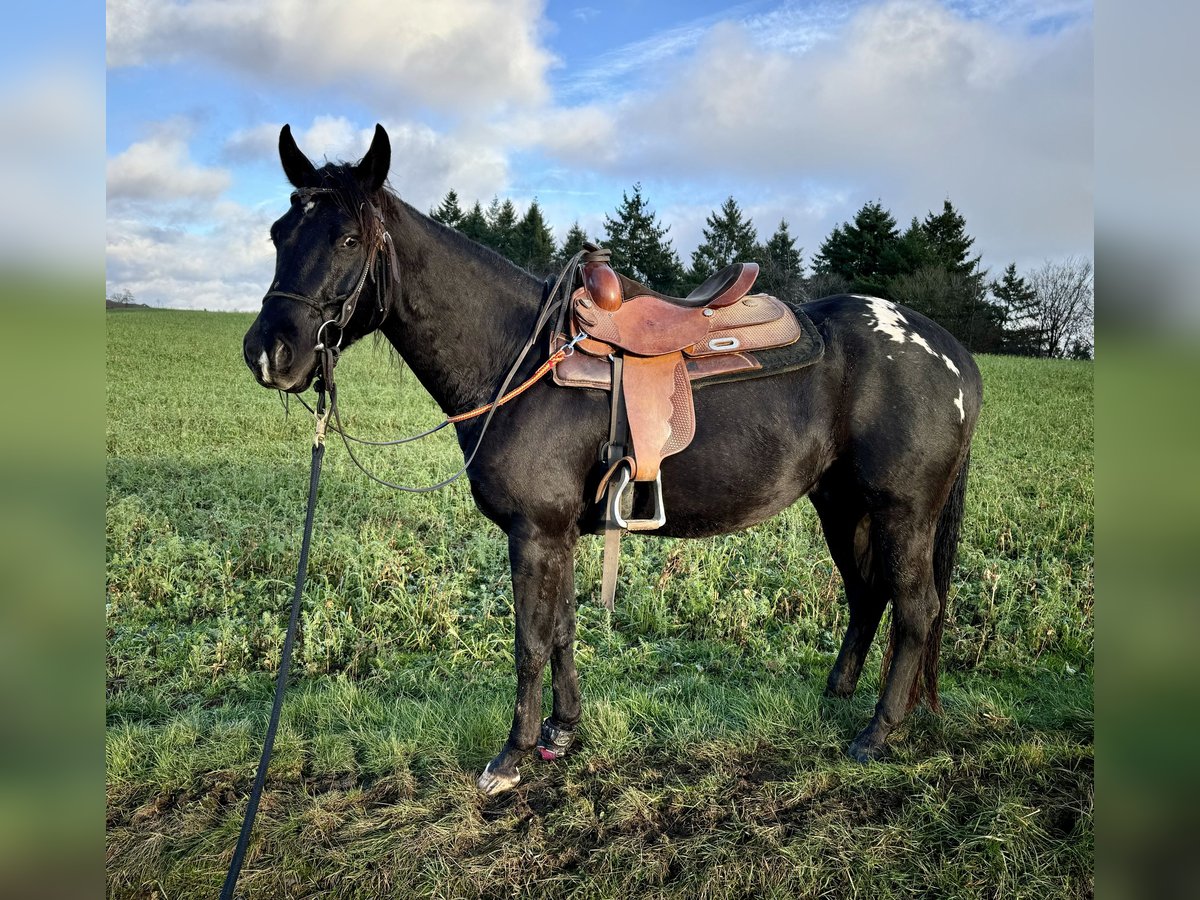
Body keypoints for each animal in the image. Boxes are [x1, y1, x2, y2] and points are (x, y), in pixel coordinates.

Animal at [243, 125, 984, 796]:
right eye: (279, 234)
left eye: (348, 239)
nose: (269, 353)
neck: (520, 358)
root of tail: (950, 351)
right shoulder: (561, 533)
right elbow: (563, 630)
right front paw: (563, 732)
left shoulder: (535, 532)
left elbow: (531, 640)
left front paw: (512, 756)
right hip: (843, 505)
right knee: (868, 593)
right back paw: (839, 694)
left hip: (904, 512)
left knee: (917, 608)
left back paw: (879, 731)